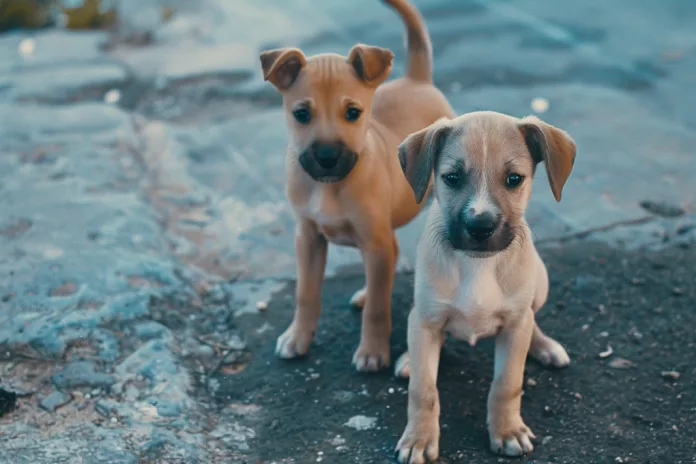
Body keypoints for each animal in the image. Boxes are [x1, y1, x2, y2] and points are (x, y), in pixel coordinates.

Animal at [258, 0, 454, 370]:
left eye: (353, 112)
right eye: (301, 114)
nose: (327, 156)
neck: (330, 186)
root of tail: (417, 79)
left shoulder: (375, 242)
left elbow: (378, 309)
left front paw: (372, 351)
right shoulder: (308, 238)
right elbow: (305, 294)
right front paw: (297, 337)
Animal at [394, 111, 572, 460]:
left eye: (514, 179)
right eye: (452, 178)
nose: (480, 226)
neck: (477, 263)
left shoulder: (515, 327)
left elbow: (507, 383)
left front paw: (508, 431)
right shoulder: (427, 319)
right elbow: (423, 389)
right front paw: (418, 439)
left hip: (540, 284)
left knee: (533, 319)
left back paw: (545, 346)